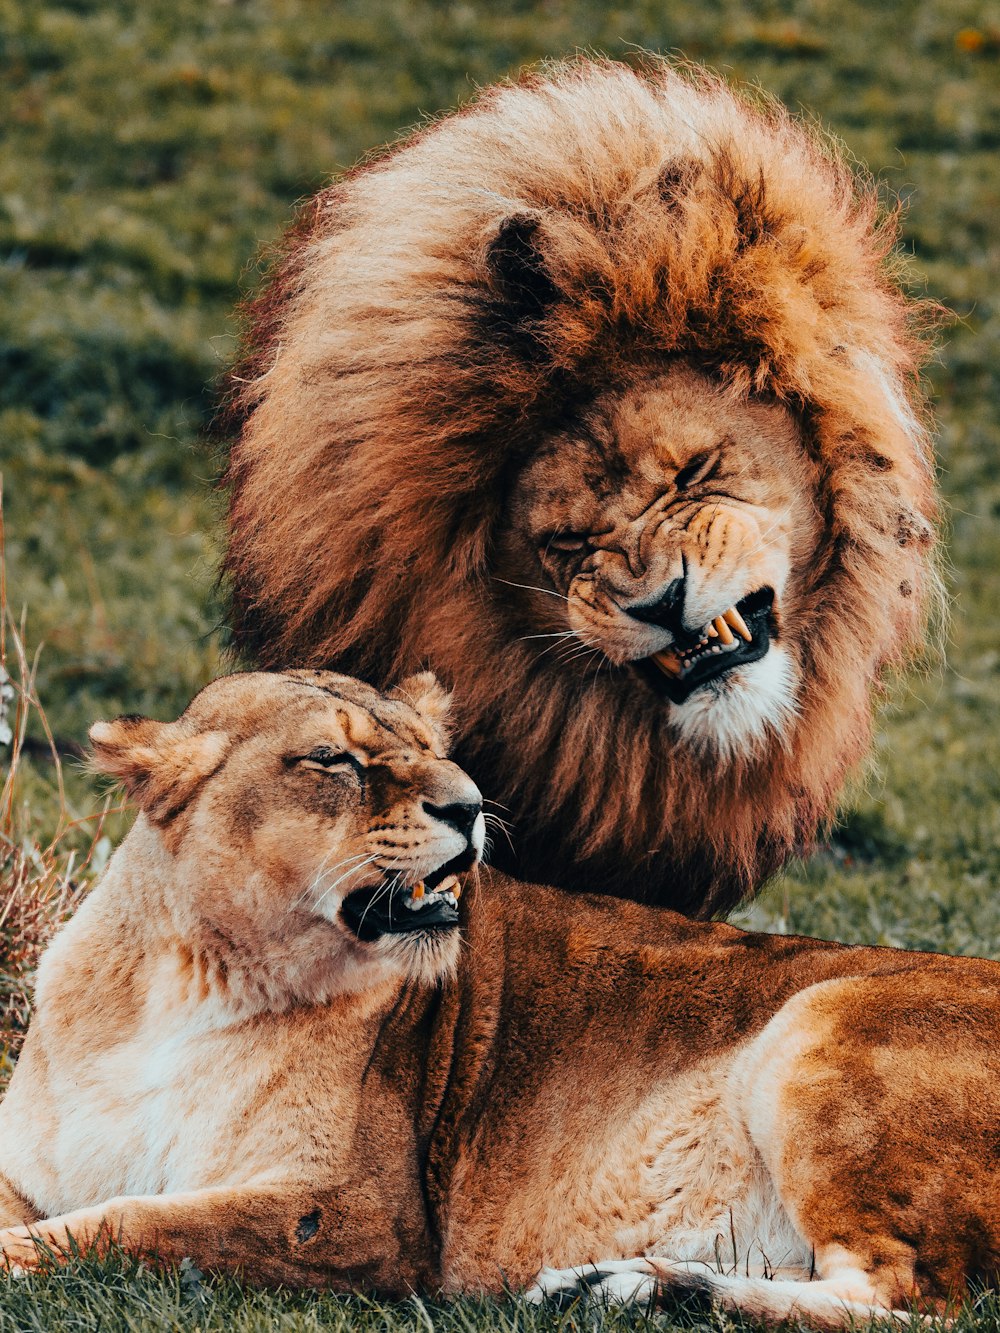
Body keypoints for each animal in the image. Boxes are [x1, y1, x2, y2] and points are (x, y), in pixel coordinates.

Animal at [1, 677, 1000, 1322]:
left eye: (437, 751)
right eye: (333, 758)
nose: (473, 804)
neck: (189, 974)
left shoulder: (357, 1210)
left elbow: (131, 1220)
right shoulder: (28, 1171)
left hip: (816, 1026)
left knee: (912, 1297)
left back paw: (641, 1293)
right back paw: (619, 1285)